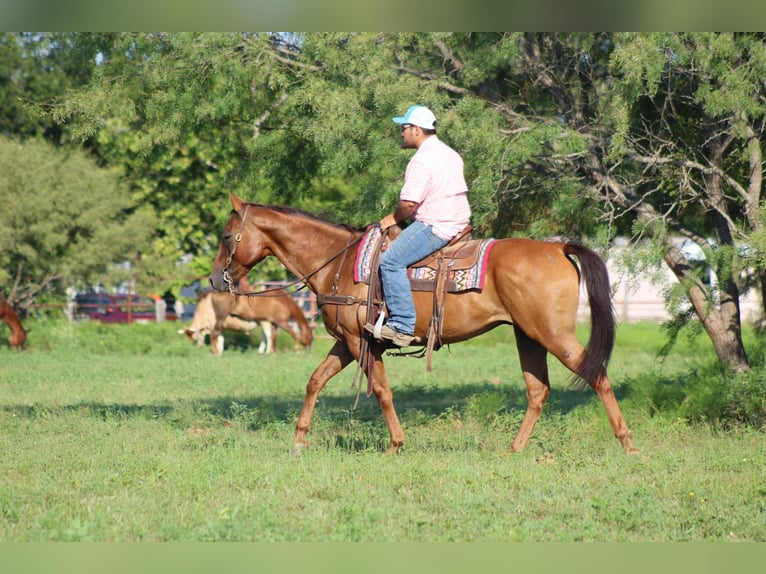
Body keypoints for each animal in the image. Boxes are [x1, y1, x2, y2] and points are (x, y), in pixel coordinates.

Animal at [209, 193, 636, 456]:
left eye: (227, 236)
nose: (214, 280)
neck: (336, 261)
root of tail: (557, 247)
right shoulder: (348, 342)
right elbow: (316, 380)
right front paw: (299, 441)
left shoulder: (360, 342)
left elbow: (381, 391)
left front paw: (395, 444)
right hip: (527, 336)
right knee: (538, 391)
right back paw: (515, 449)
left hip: (553, 334)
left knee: (597, 375)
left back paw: (627, 442)